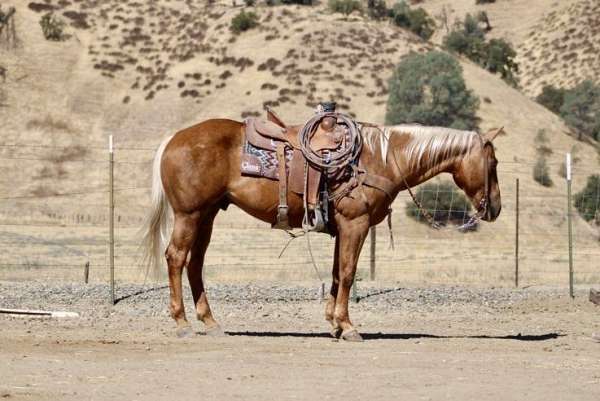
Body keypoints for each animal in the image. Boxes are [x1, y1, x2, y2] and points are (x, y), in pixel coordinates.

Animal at [141, 119, 502, 340]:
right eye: (494, 163)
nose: (495, 208)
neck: (381, 159)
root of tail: (174, 138)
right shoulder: (355, 224)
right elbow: (348, 273)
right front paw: (348, 326)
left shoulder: (342, 227)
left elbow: (336, 273)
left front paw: (334, 323)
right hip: (189, 214)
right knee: (176, 258)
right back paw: (182, 322)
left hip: (207, 214)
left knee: (195, 264)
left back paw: (210, 322)